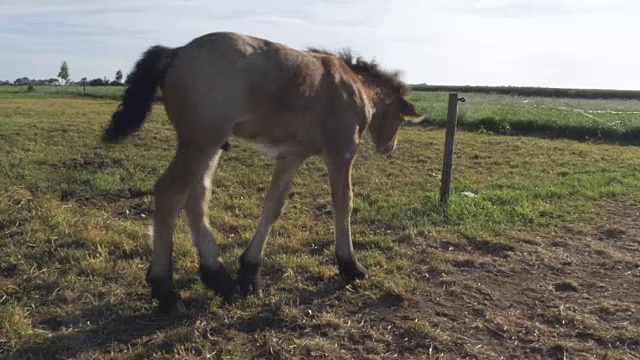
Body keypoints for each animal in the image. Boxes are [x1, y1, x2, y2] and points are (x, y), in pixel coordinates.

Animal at [101, 31, 420, 314]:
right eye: (401, 119)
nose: (389, 147)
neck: (352, 85)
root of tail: (177, 51)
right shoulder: (341, 153)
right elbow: (344, 203)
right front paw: (350, 264)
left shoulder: (292, 155)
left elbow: (273, 206)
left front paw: (249, 272)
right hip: (200, 142)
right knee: (170, 193)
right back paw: (166, 291)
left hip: (209, 145)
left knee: (197, 197)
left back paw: (218, 278)